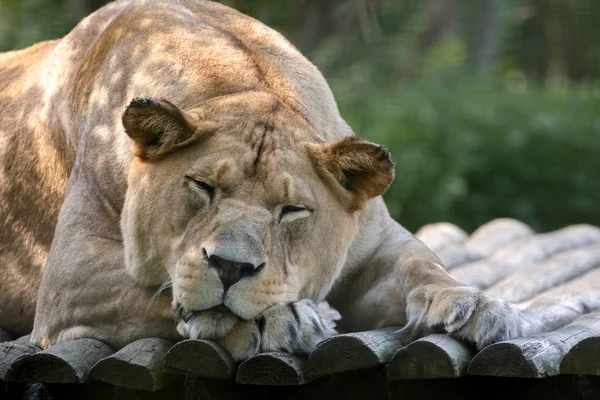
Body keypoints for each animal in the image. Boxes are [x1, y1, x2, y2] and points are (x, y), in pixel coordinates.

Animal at [0, 0, 536, 360]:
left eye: (292, 210)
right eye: (202, 187)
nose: (230, 267)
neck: (243, 82)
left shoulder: (378, 245)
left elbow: (423, 267)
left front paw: (479, 304)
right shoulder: (71, 280)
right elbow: (161, 294)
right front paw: (285, 317)